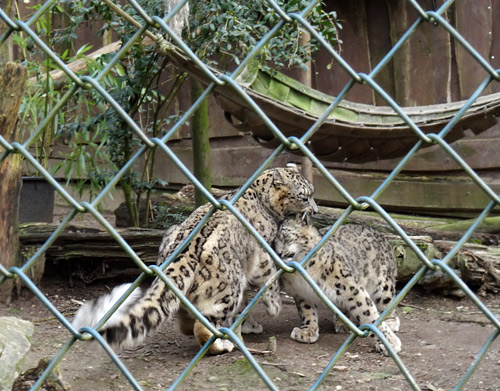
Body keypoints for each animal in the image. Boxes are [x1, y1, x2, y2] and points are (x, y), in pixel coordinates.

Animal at [71, 167, 316, 356]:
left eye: (312, 193)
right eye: (304, 196)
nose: (314, 210)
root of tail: (176, 261)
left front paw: (249, 325)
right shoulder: (263, 251)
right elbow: (269, 276)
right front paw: (274, 307)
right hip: (230, 286)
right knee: (205, 324)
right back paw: (221, 345)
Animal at [274, 216, 402, 356]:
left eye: (286, 237)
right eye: (273, 243)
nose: (278, 253)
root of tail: (382, 236)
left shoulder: (350, 286)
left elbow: (367, 313)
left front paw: (389, 342)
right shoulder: (301, 292)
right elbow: (307, 311)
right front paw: (308, 331)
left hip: (383, 284)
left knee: (388, 301)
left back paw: (390, 321)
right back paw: (342, 322)